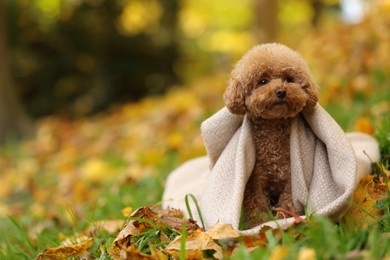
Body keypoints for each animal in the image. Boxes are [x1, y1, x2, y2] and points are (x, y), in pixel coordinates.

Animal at [224, 43, 318, 229]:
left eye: (288, 79)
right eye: (262, 81)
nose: (281, 91)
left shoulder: (289, 176)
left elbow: (288, 201)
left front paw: (285, 219)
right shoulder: (255, 181)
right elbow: (256, 204)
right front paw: (259, 224)